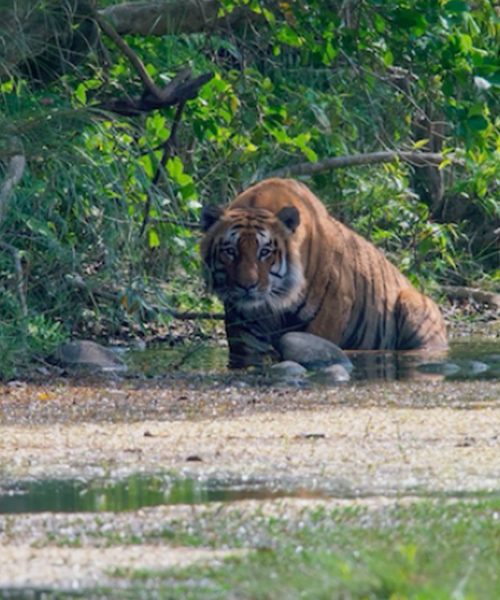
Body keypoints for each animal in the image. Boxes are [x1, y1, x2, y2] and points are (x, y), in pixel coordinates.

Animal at [200, 176, 450, 368]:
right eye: (230, 251)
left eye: (265, 252)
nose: (246, 286)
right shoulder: (244, 328)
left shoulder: (329, 313)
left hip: (413, 304)